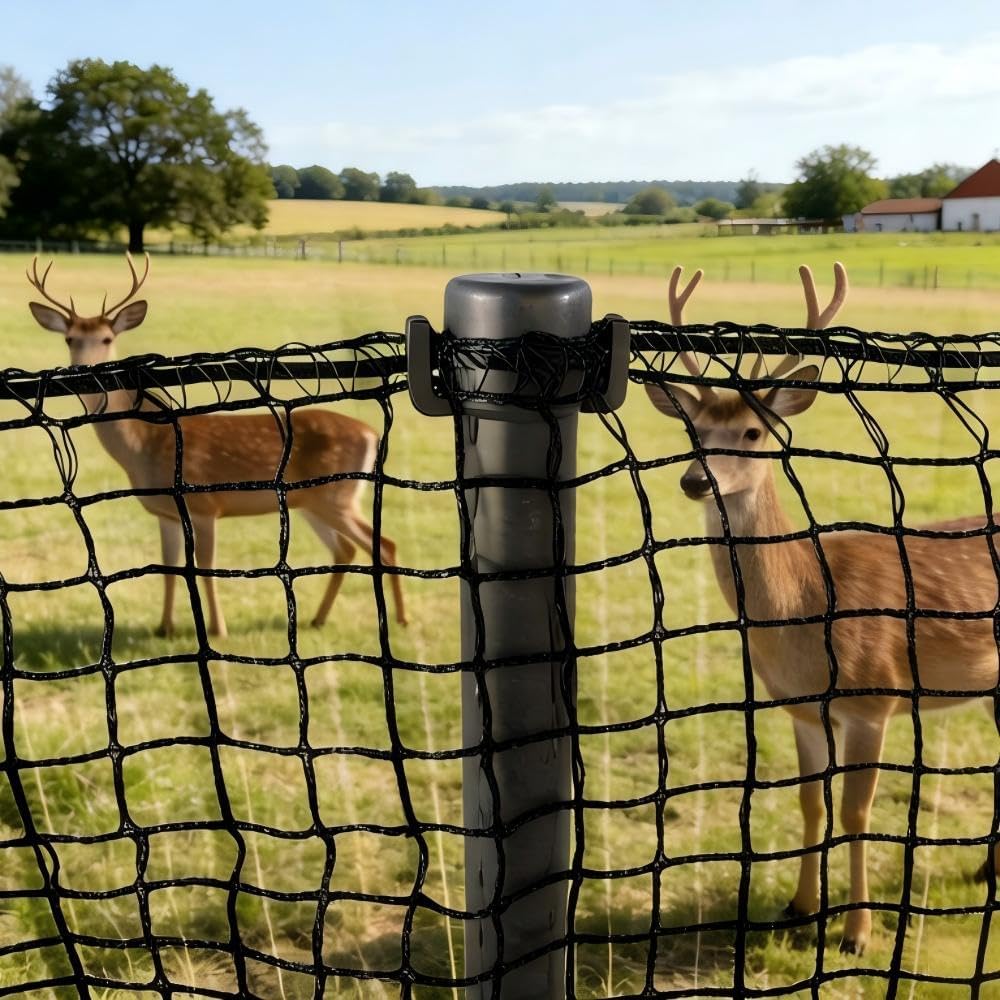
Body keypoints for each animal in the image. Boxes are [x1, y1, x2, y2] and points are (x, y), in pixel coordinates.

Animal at [27, 254, 406, 640]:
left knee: (385, 545)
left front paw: (217, 629)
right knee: (346, 549)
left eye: (106, 338)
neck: (144, 446)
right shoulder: (165, 513)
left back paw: (400, 620)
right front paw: (164, 628)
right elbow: (168, 566)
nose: (81, 371)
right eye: (70, 339)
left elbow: (205, 565)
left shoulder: (205, 504)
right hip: (313, 502)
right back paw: (318, 619)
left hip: (337, 495)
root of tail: (371, 434)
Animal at [647, 263, 1000, 955]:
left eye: (753, 433)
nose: (696, 480)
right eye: (693, 431)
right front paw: (799, 907)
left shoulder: (875, 698)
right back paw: (982, 869)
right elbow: (812, 804)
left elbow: (857, 811)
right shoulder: (801, 710)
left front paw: (857, 933)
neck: (808, 614)